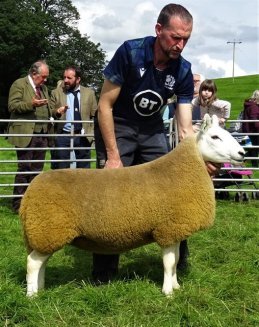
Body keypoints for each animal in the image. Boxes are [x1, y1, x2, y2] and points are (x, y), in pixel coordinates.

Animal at [18, 114, 246, 298]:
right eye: (215, 137)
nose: (243, 153)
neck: (183, 169)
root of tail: (31, 191)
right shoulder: (167, 229)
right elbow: (169, 263)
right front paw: (168, 293)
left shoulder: (174, 230)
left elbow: (175, 261)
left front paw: (176, 286)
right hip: (48, 229)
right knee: (32, 263)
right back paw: (32, 295)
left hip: (44, 233)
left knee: (40, 262)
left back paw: (41, 288)